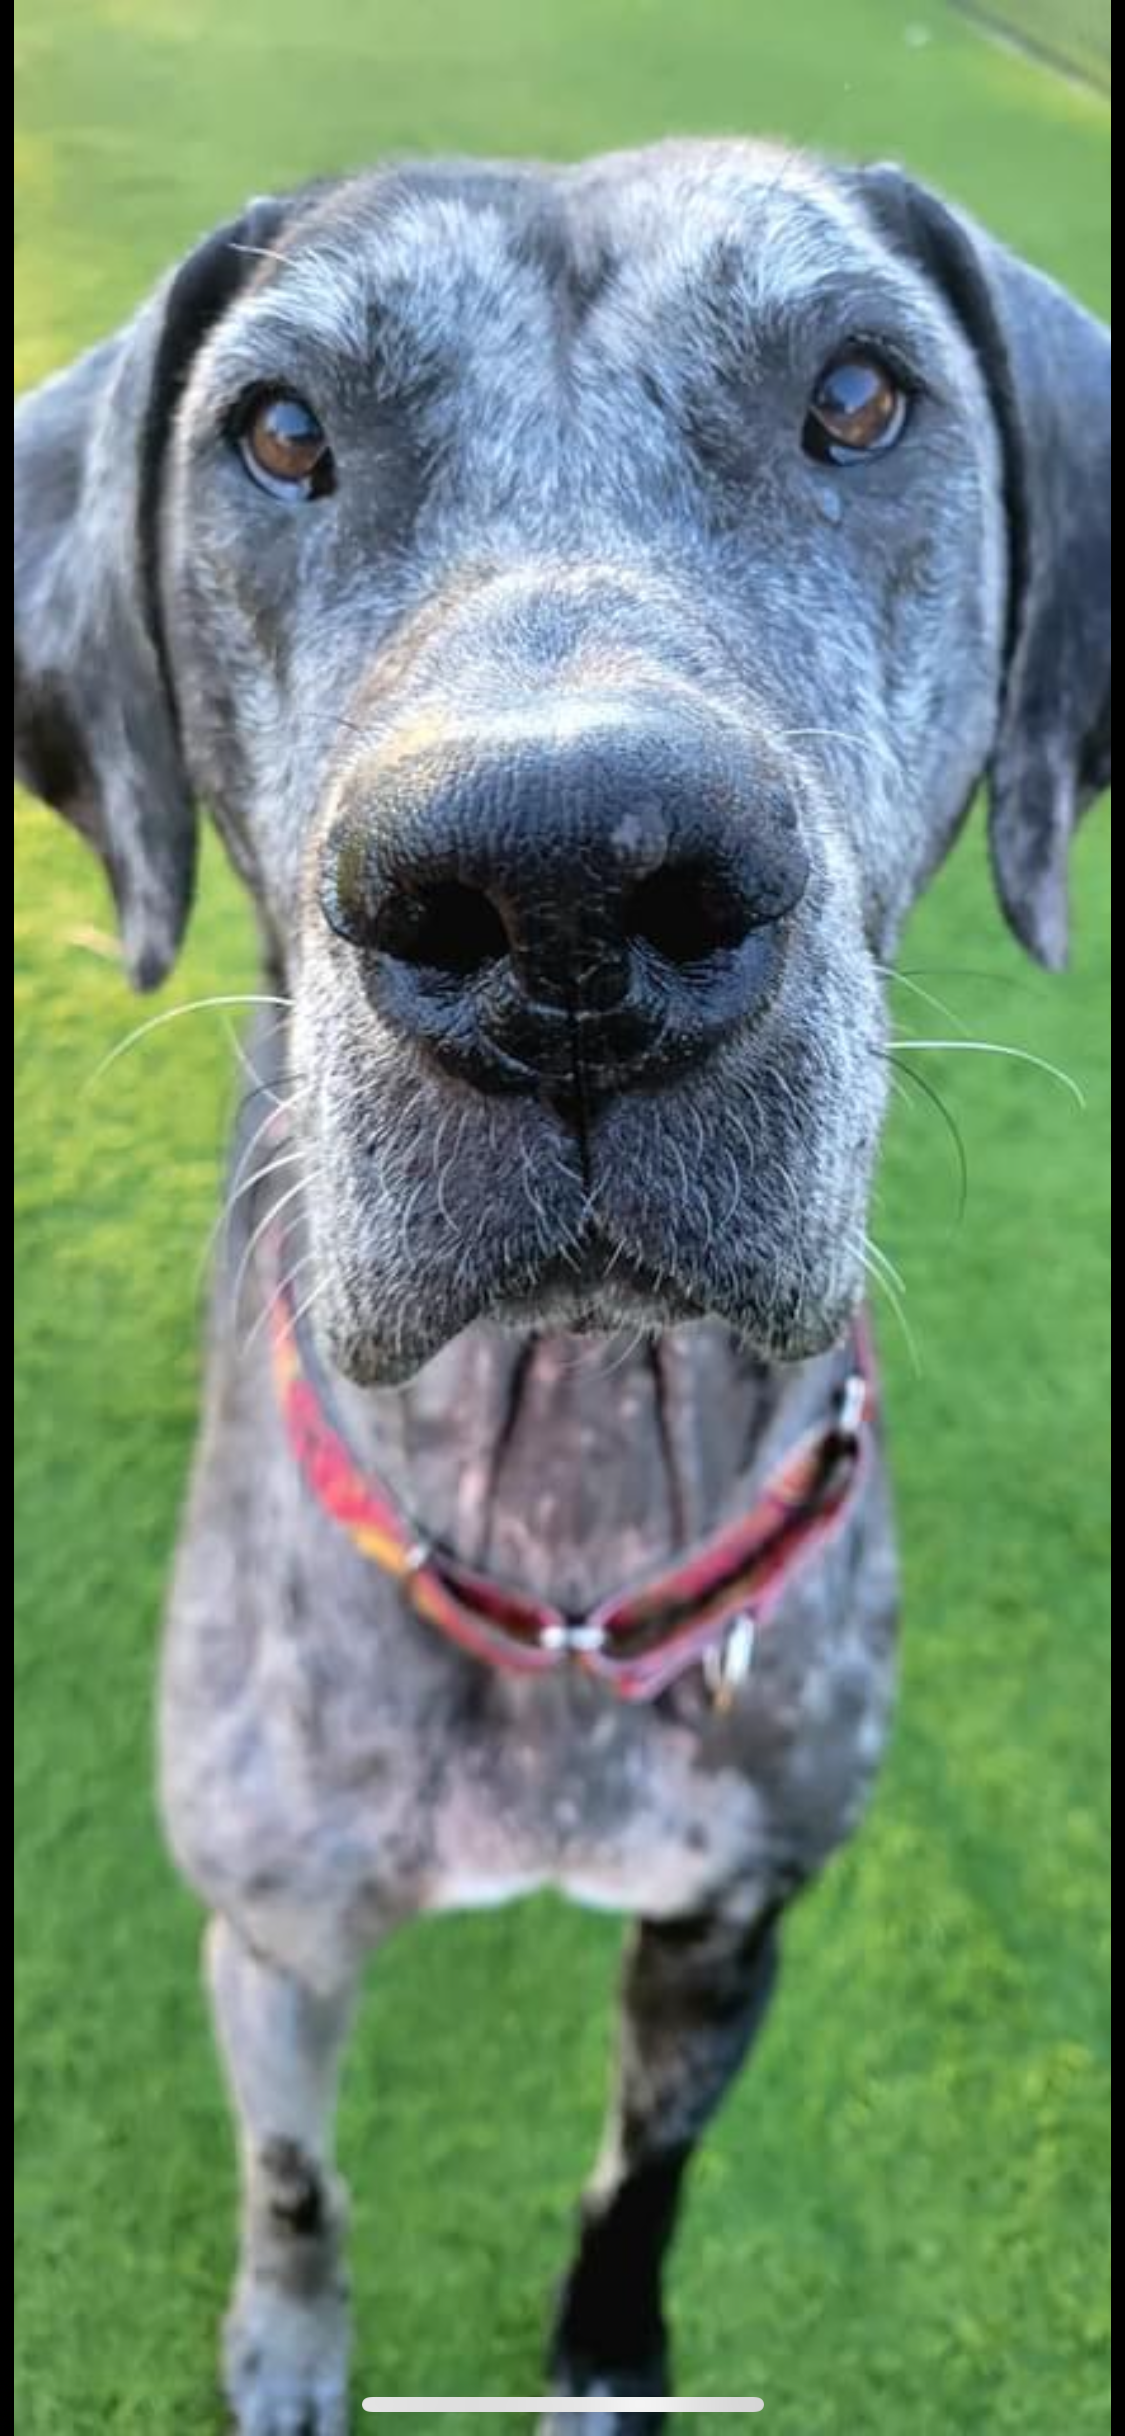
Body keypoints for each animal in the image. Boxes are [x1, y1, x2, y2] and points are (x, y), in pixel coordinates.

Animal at [15, 138, 1105, 2436]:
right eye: (279, 433)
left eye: (859, 396)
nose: (561, 892)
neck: (570, 1532)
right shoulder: (270, 1946)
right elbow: (297, 2174)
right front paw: (290, 2338)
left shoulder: (727, 1932)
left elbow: (642, 2182)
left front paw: (609, 2355)